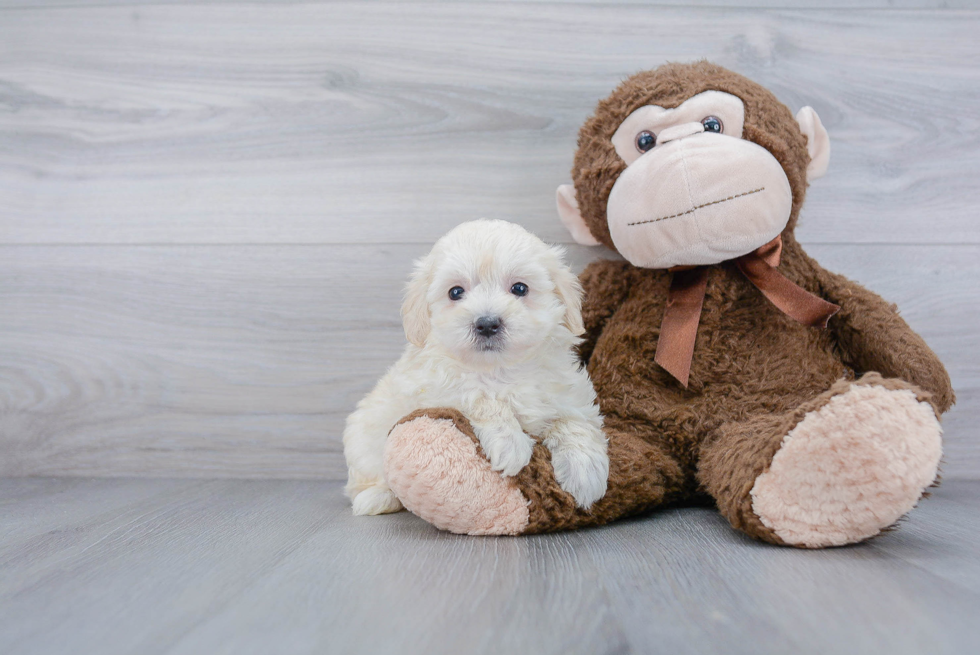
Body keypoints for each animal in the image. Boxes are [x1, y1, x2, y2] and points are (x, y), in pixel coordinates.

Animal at [342, 220, 604, 516]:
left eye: (520, 288)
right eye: (455, 292)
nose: (487, 323)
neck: (500, 369)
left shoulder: (567, 395)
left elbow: (576, 422)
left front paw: (586, 472)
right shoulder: (431, 388)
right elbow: (478, 395)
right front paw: (510, 444)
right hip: (362, 441)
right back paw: (378, 497)